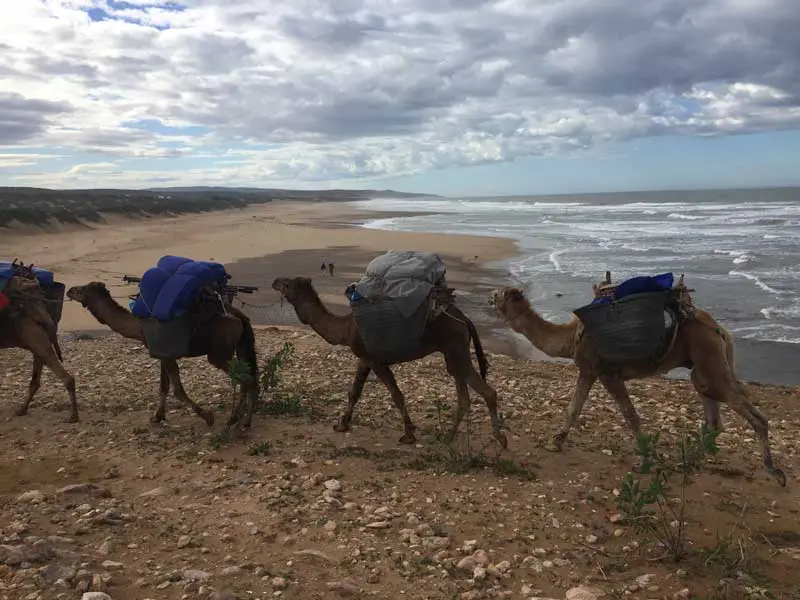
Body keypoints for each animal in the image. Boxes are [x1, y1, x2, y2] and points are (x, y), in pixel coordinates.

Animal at [0, 272, 77, 422]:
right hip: (36, 340)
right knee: (36, 381)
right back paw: (21, 410)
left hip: (35, 337)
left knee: (66, 378)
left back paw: (73, 417)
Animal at [67, 282, 260, 432]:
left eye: (83, 289)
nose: (69, 290)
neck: (139, 327)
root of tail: (239, 316)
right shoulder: (161, 354)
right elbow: (163, 387)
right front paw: (157, 417)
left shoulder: (167, 355)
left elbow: (177, 390)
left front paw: (207, 416)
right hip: (240, 346)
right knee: (250, 377)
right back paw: (244, 421)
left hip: (219, 352)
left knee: (245, 380)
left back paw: (235, 420)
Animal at [270, 276, 506, 446]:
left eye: (287, 283)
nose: (274, 281)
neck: (345, 329)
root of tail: (465, 319)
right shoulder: (364, 359)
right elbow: (354, 392)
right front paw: (342, 425)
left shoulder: (375, 361)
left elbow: (396, 395)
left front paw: (408, 434)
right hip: (453, 352)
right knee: (463, 395)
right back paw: (447, 437)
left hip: (455, 346)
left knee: (487, 392)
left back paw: (500, 440)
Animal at [490, 286, 784, 488]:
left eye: (502, 294)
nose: (490, 297)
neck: (570, 337)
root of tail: (718, 329)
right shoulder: (591, 370)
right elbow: (574, 408)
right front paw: (556, 443)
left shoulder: (605, 372)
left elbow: (628, 415)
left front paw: (645, 459)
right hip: (704, 365)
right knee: (713, 418)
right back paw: (687, 462)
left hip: (709, 357)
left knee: (752, 414)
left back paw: (775, 471)